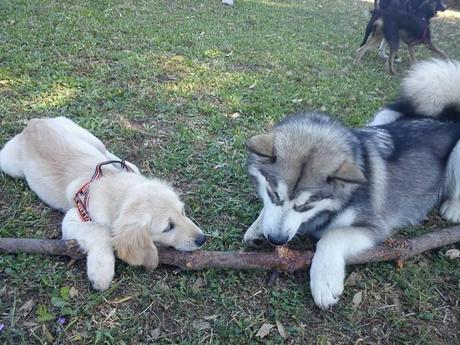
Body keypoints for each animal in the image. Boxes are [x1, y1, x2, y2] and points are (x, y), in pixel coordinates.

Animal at [0, 117, 205, 288]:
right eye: (168, 227)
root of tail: (33, 123)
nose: (202, 239)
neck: (114, 187)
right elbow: (100, 230)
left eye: (183, 212)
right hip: (9, 164)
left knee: (104, 150)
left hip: (86, 135)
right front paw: (101, 271)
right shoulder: (73, 217)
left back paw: (127, 165)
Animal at [244, 57, 460, 308]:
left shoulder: (375, 227)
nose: (276, 239)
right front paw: (258, 226)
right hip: (384, 116)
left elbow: (332, 236)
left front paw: (325, 281)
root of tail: (449, 118)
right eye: (273, 193)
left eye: (307, 205)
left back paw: (453, 207)